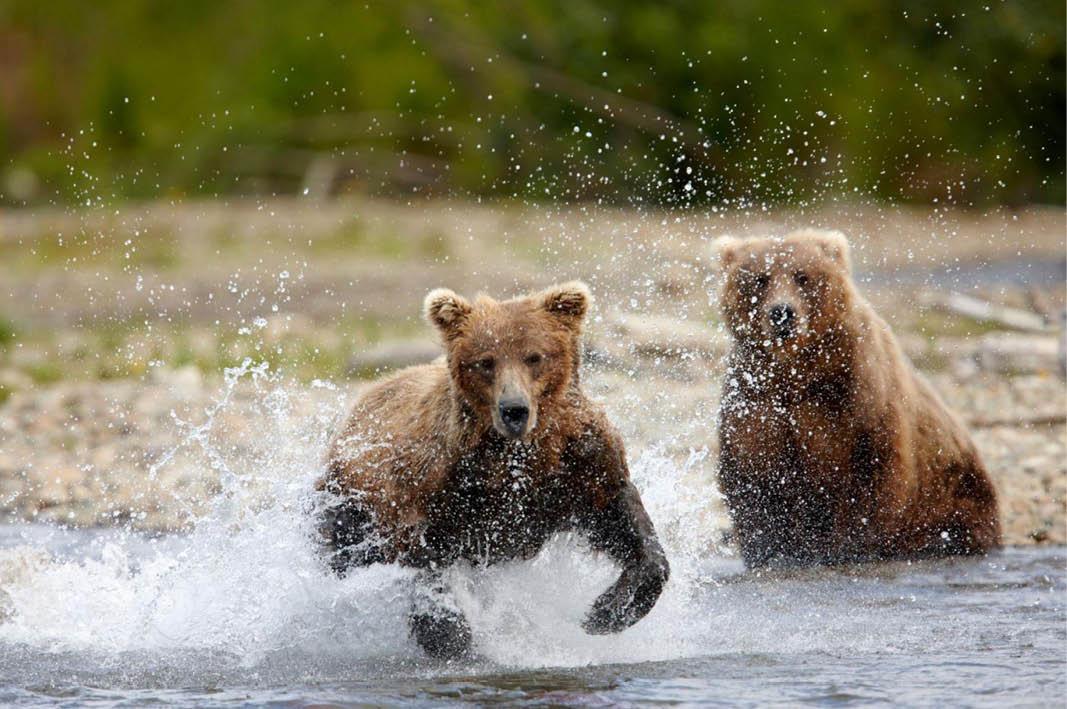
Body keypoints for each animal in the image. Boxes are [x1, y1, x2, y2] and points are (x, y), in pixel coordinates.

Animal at [317, 282, 669, 659]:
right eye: (485, 362)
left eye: (534, 356)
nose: (513, 409)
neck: (517, 455)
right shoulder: (439, 483)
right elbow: (424, 554)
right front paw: (448, 633)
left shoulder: (579, 463)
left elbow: (623, 519)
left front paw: (608, 610)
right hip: (347, 500)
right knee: (341, 553)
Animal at [712, 229, 1001, 568]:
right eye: (761, 278)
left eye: (802, 276)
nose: (782, 313)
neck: (799, 373)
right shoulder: (758, 402)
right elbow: (755, 473)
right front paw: (771, 550)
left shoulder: (857, 398)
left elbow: (869, 475)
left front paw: (849, 547)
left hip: (955, 497)